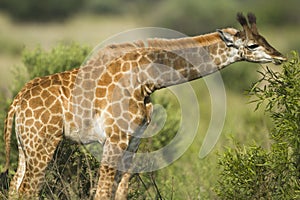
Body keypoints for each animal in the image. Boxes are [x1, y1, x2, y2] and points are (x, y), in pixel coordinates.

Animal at [1, 13, 284, 199]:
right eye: (252, 44)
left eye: (264, 38)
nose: (279, 56)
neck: (148, 79)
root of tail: (17, 101)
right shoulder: (114, 138)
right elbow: (102, 193)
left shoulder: (134, 139)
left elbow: (120, 192)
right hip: (43, 143)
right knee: (27, 190)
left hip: (25, 145)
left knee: (14, 187)